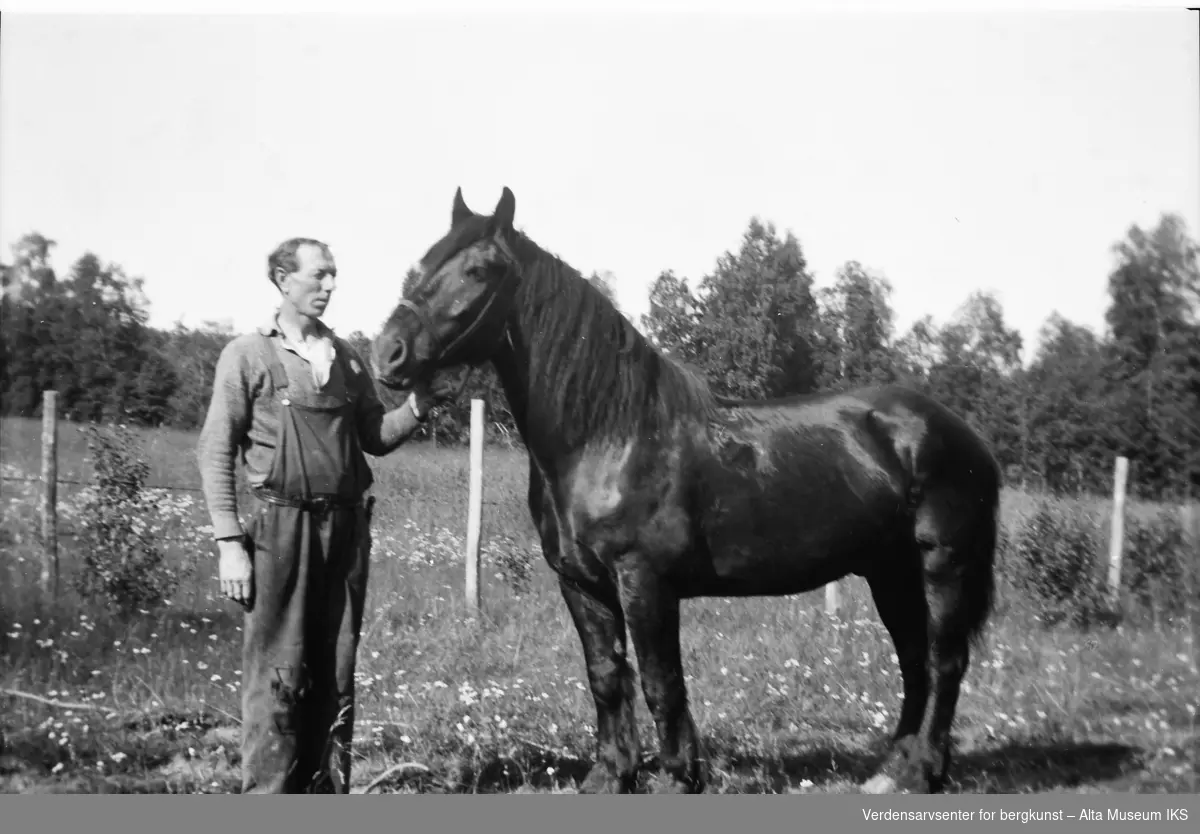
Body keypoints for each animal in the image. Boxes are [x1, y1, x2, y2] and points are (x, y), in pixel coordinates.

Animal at [367, 189, 1003, 796]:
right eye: (425, 261)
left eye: (479, 270)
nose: (386, 354)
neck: (609, 434)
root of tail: (962, 434)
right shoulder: (581, 584)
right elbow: (606, 677)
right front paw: (611, 776)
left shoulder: (645, 582)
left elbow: (660, 682)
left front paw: (679, 777)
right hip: (888, 571)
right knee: (914, 662)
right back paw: (891, 770)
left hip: (942, 565)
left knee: (945, 662)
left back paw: (925, 772)